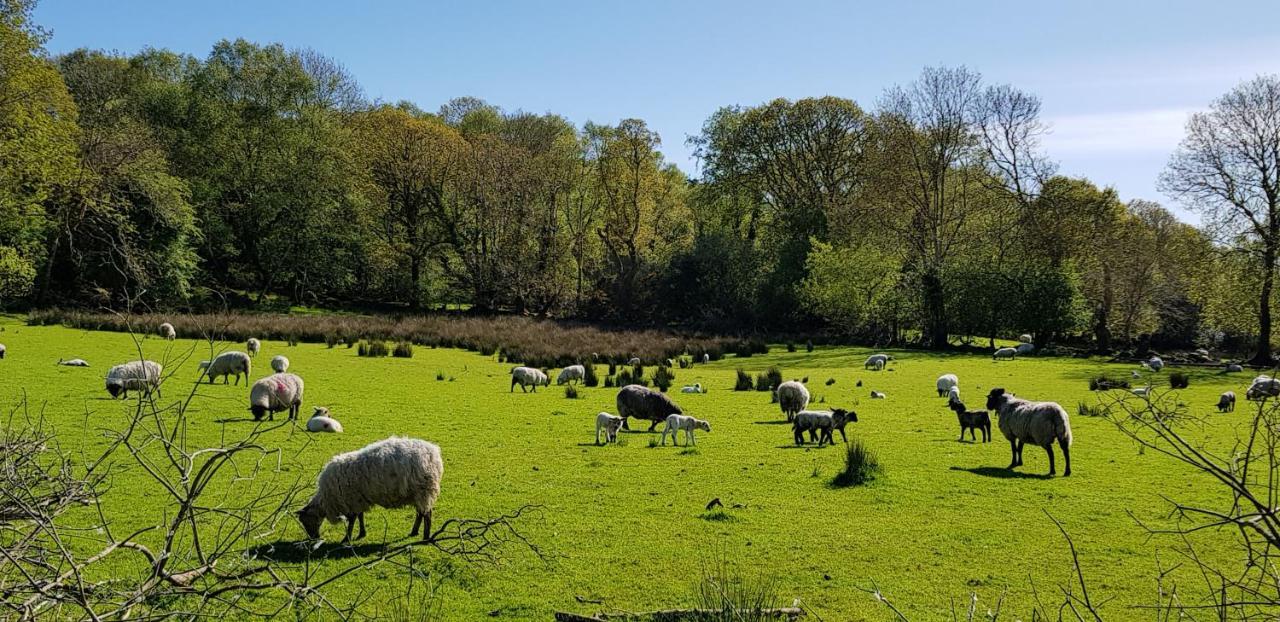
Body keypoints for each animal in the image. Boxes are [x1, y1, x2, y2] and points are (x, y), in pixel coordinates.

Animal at [296, 435, 442, 542]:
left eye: (305, 522)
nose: (314, 538)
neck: (326, 500)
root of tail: (433, 453)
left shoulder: (352, 500)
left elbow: (352, 520)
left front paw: (346, 538)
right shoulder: (359, 499)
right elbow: (360, 516)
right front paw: (361, 533)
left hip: (423, 490)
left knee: (427, 514)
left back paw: (425, 537)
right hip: (418, 493)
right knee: (420, 513)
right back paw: (414, 532)